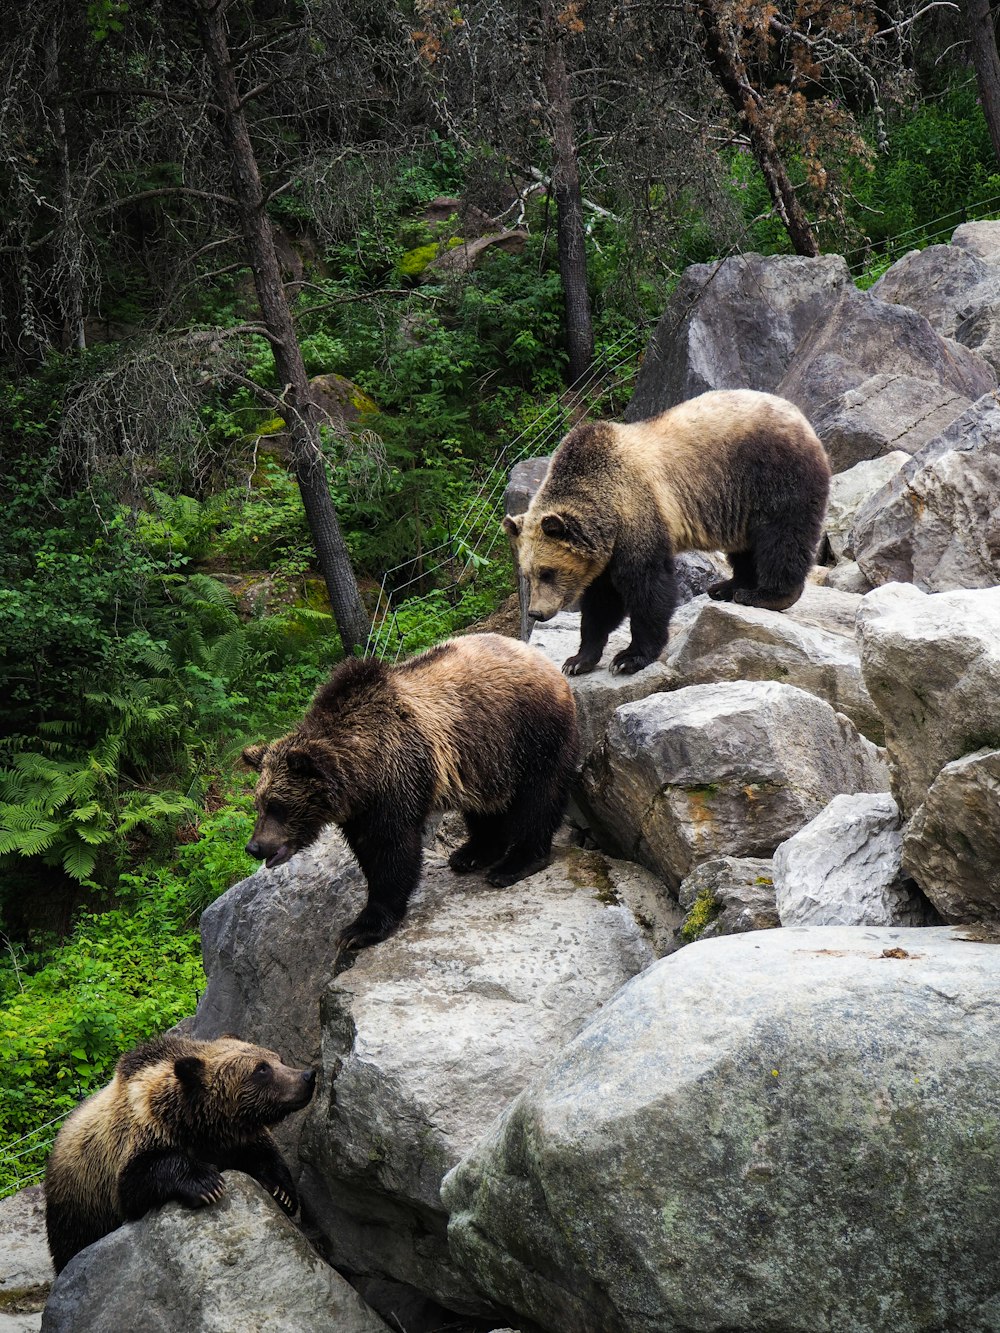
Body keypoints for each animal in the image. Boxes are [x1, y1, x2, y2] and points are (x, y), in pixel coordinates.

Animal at [44, 1029, 313, 1269]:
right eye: (261, 1069)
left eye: (278, 1058)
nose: (308, 1076)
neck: (195, 1124)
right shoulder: (135, 1142)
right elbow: (139, 1179)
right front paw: (208, 1184)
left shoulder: (234, 1140)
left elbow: (265, 1154)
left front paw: (283, 1192)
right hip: (79, 1206)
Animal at [244, 631, 584, 949]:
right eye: (258, 805)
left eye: (277, 805)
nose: (255, 847)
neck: (360, 772)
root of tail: (543, 661)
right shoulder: (360, 809)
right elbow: (368, 851)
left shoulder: (397, 778)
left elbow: (392, 852)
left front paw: (360, 929)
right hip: (485, 758)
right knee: (486, 806)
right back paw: (472, 853)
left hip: (530, 733)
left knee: (539, 798)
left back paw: (515, 864)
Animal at [504, 386, 832, 677]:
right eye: (527, 574)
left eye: (548, 572)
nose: (535, 613)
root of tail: (799, 415)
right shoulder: (606, 550)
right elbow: (601, 601)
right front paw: (578, 660)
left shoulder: (638, 512)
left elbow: (647, 587)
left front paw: (629, 658)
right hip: (739, 501)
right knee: (746, 546)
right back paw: (728, 587)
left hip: (773, 474)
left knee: (782, 537)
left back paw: (766, 595)